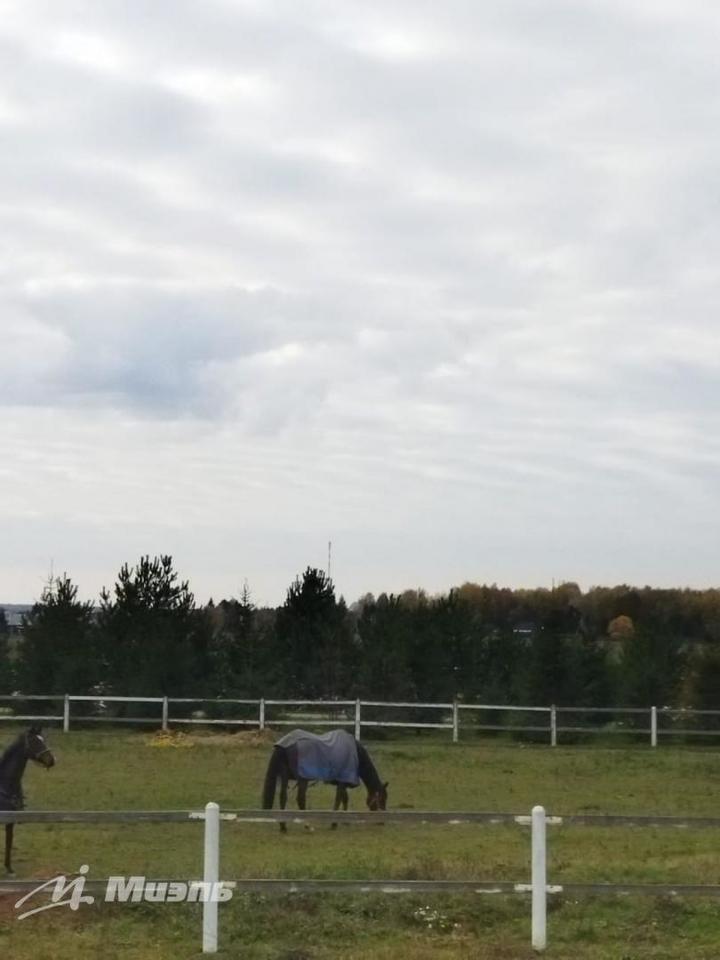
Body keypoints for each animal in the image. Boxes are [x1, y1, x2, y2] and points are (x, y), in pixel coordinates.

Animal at [0, 724, 55, 872]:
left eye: (43, 739)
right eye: (34, 741)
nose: (51, 760)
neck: (5, 785)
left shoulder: (10, 820)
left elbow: (9, 841)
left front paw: (9, 868)